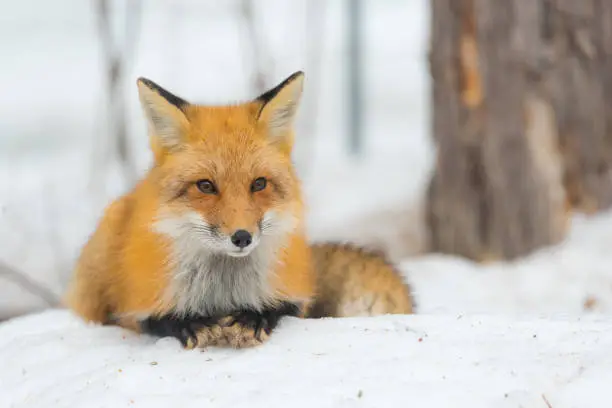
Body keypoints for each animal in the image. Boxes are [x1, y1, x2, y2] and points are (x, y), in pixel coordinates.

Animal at [64, 71, 414, 350]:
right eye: (205, 186)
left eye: (258, 184)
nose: (242, 237)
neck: (222, 291)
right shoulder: (137, 305)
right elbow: (155, 320)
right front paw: (190, 323)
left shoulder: (294, 294)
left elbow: (281, 308)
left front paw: (253, 318)